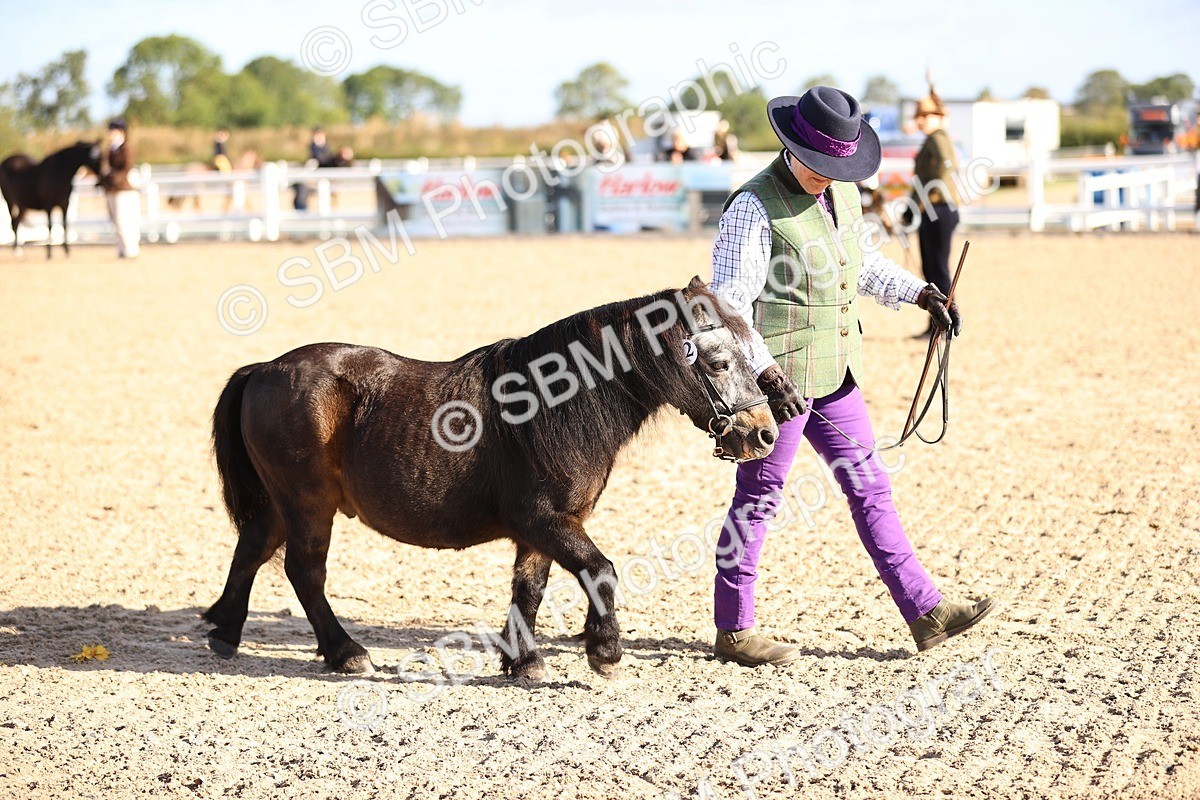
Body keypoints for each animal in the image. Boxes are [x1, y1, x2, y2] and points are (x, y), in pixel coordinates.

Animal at [205, 277, 778, 679]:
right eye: (719, 361)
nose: (765, 432)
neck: (550, 406)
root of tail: (264, 369)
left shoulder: (545, 527)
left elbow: (530, 589)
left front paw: (524, 661)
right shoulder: (544, 518)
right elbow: (599, 571)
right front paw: (605, 650)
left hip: (282, 503)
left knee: (253, 547)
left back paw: (225, 631)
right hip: (308, 503)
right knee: (304, 571)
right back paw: (345, 652)